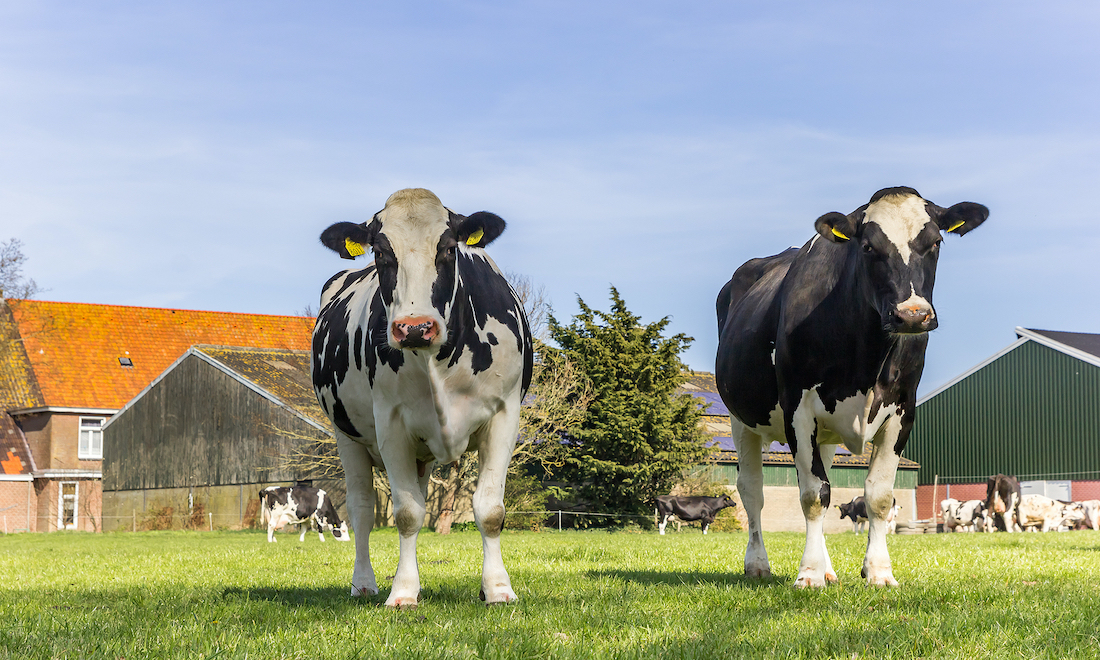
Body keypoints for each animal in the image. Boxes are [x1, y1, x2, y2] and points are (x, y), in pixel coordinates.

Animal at [310, 188, 532, 607]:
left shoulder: (504, 414)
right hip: (346, 435)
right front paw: (402, 591)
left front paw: (497, 588)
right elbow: (408, 513)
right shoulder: (391, 424)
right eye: (381, 251)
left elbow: (490, 509)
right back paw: (363, 583)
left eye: (447, 248)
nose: (415, 328)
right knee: (362, 510)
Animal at [712, 185, 990, 589]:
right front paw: (809, 574)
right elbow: (814, 494)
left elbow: (878, 496)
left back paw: (829, 569)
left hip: (826, 435)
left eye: (936, 242)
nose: (913, 315)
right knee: (753, 491)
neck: (866, 360)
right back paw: (758, 563)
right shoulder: (798, 408)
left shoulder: (903, 410)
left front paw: (878, 571)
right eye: (868, 247)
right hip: (741, 419)